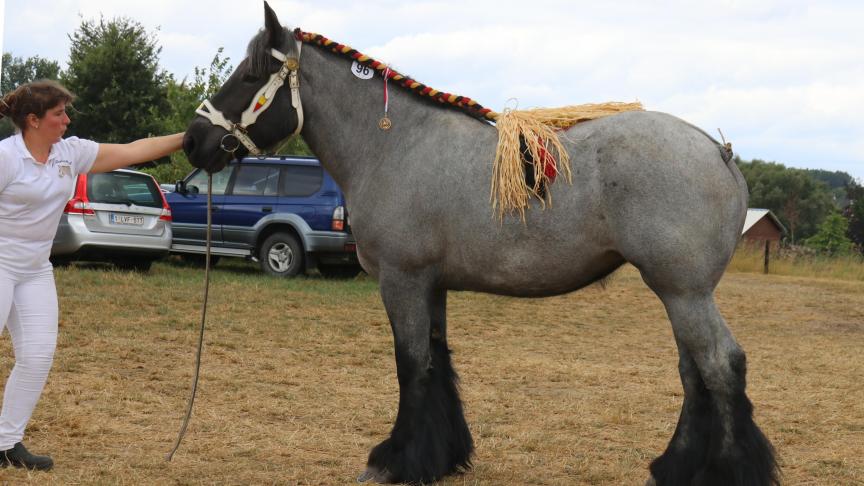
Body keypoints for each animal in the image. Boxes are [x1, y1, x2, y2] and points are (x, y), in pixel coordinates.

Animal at [182, 2, 776, 482]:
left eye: (251, 74)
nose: (192, 141)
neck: (396, 144)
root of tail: (719, 152)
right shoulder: (433, 286)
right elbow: (436, 362)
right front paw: (441, 457)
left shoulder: (402, 281)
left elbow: (410, 365)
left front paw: (395, 461)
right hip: (679, 295)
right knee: (694, 372)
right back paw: (674, 467)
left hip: (683, 293)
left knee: (720, 366)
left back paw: (726, 471)